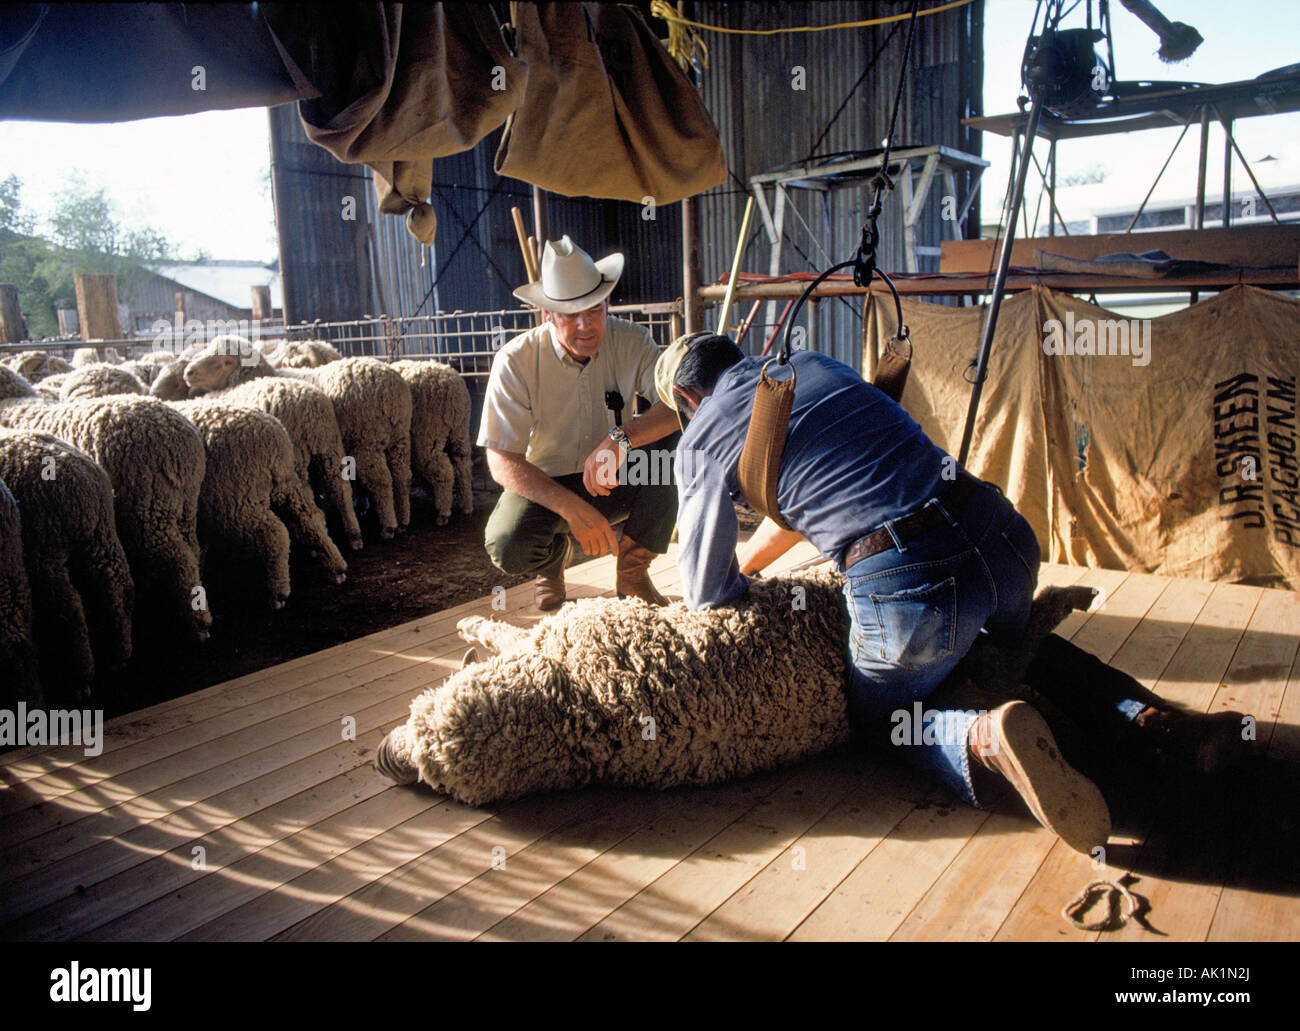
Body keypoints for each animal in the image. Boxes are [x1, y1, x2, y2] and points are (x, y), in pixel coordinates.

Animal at [0, 423, 134, 702]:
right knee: (119, 589)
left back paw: (79, 680)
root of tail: (85, 481)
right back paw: (118, 655)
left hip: (46, 550)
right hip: (100, 537)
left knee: (68, 609)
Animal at [395, 358, 483, 522]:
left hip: (427, 435)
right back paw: (466, 506)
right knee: (463, 467)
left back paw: (443, 514)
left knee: (443, 470)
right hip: (459, 431)